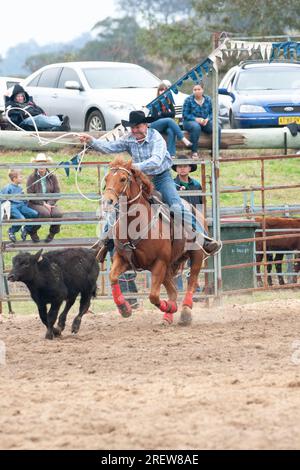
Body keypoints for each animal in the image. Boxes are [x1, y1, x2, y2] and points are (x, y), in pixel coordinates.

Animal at [102, 156, 205, 324]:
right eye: (107, 178)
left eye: (123, 179)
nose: (107, 201)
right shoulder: (123, 258)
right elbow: (113, 277)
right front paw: (124, 308)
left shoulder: (160, 262)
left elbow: (153, 296)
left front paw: (171, 308)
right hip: (169, 265)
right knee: (173, 290)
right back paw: (168, 316)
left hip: (196, 255)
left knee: (192, 280)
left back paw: (185, 312)